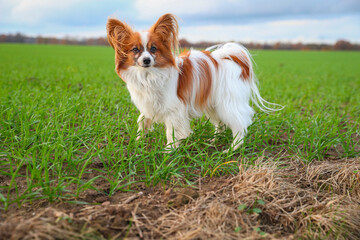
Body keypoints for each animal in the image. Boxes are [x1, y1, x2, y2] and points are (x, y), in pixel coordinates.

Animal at [105, 13, 280, 150]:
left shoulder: (174, 109)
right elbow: (142, 120)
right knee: (220, 125)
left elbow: (172, 132)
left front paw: (169, 152)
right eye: (135, 50)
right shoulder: (150, 104)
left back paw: (232, 149)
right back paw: (213, 141)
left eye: (153, 49)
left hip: (227, 104)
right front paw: (138, 141)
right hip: (212, 105)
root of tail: (231, 59)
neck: (148, 75)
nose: (146, 60)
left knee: (240, 125)